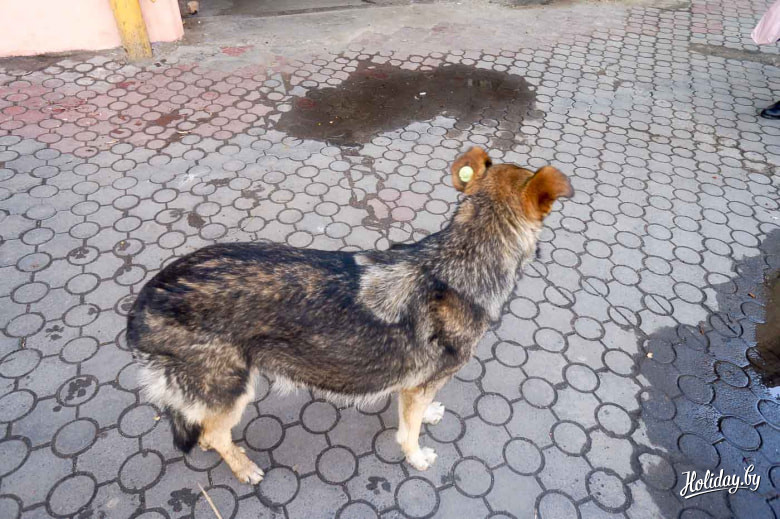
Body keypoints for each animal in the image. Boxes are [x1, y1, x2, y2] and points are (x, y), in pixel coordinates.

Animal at [127, 147, 572, 484]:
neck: (463, 258)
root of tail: (144, 300)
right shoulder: (420, 385)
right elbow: (408, 433)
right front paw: (417, 457)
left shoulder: (416, 387)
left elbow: (416, 413)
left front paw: (429, 416)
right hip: (233, 392)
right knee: (212, 436)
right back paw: (244, 468)